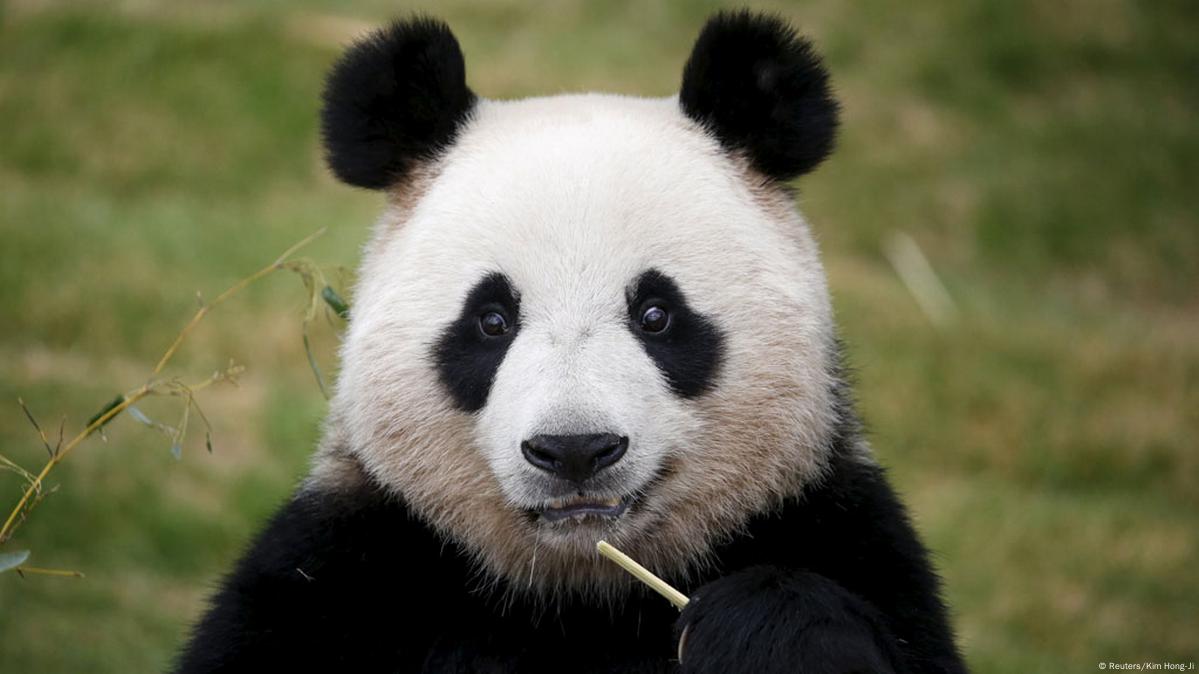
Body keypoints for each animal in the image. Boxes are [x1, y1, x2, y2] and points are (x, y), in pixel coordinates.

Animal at [175, 10, 963, 671]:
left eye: (656, 314)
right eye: (491, 320)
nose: (575, 450)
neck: (581, 590)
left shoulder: (836, 527)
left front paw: (763, 626)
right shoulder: (349, 567)